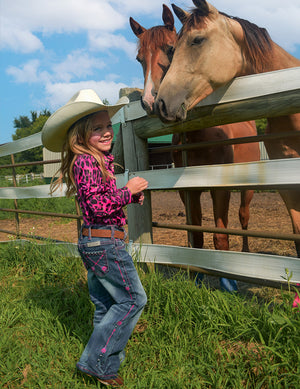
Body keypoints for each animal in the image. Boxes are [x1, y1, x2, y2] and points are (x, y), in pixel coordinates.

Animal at [129, 4, 260, 292]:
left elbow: (220, 236)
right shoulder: (188, 191)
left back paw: (245, 257)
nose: (151, 101)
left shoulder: (219, 187)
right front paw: (197, 276)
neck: (200, 135)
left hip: (247, 187)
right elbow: (195, 234)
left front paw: (228, 283)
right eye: (139, 58)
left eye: (170, 49)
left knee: (244, 218)